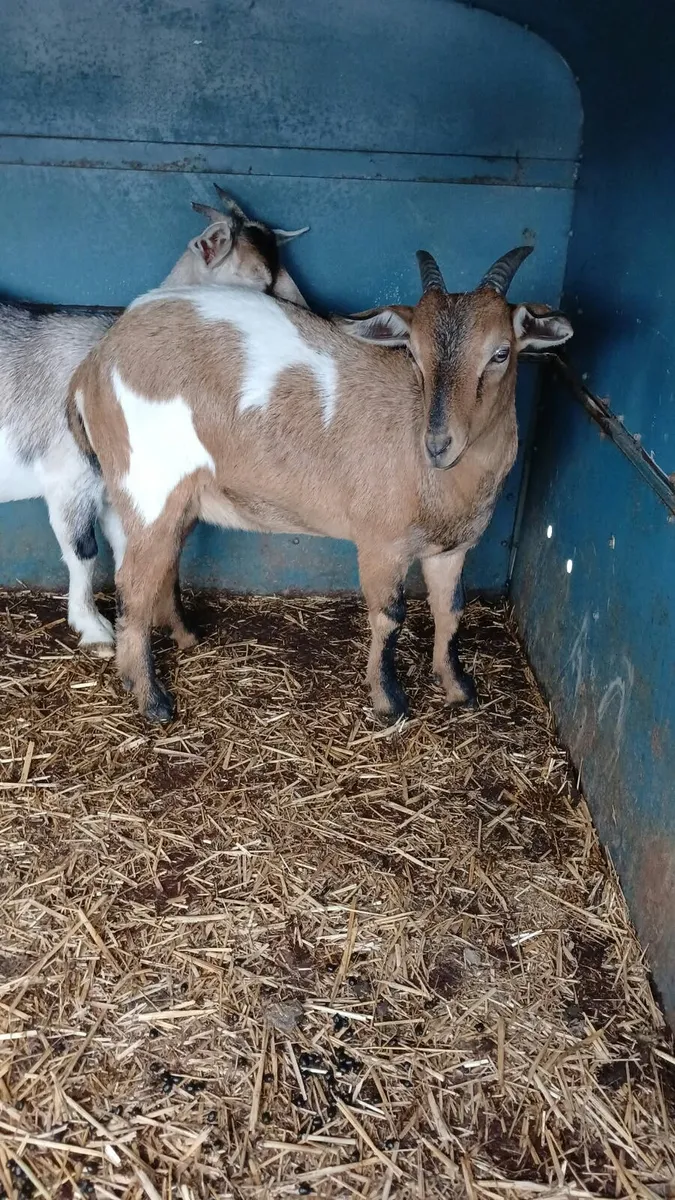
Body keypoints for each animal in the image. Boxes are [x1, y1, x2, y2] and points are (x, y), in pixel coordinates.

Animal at [0, 187, 308, 650]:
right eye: (255, 287)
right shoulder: (69, 478)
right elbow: (84, 552)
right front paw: (94, 628)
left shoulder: (119, 487)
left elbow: (129, 549)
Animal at [69, 247, 572, 720]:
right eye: (413, 353)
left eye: (501, 353)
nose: (438, 444)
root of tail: (93, 365)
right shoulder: (381, 543)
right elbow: (390, 617)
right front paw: (389, 700)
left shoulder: (452, 549)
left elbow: (451, 612)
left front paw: (458, 688)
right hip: (148, 486)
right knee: (133, 586)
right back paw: (152, 699)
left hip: (175, 499)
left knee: (162, 566)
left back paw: (186, 637)